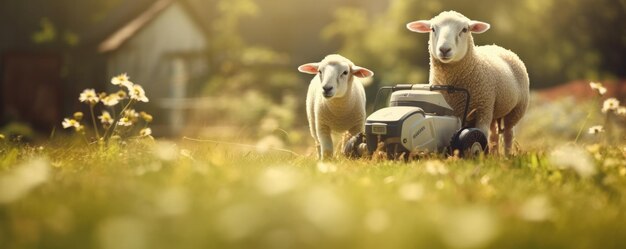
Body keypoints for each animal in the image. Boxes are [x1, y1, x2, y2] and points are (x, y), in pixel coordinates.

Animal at [408, 11, 528, 156]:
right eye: (432, 29)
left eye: (464, 29)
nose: (444, 49)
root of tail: (497, 46)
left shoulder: (483, 109)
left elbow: (481, 133)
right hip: (494, 111)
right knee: (494, 135)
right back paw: (495, 155)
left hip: (515, 110)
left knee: (508, 134)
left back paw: (507, 155)